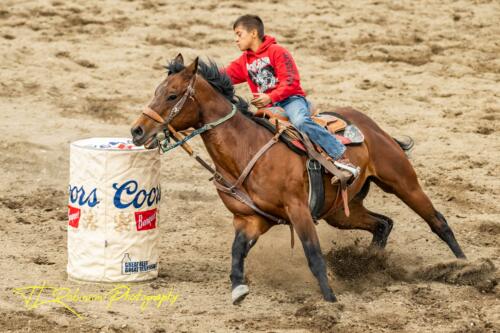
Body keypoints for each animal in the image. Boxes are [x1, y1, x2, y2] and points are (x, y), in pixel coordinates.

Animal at [131, 54, 466, 304]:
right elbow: (237, 252)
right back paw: (372, 264)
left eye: (172, 95)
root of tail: (369, 124)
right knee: (383, 223)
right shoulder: (250, 219)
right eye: (156, 91)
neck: (246, 149)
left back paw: (464, 266)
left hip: (402, 182)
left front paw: (330, 300)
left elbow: (314, 255)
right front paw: (238, 289)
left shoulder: (299, 209)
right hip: (341, 212)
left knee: (438, 221)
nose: (137, 130)